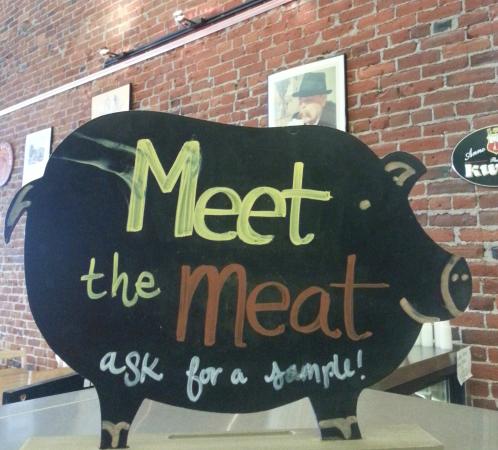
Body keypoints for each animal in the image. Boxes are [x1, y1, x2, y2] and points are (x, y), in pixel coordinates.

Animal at [4, 111, 471, 449]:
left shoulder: (336, 379)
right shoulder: (337, 378)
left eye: (405, 212)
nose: (458, 270)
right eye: (367, 207)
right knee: (114, 413)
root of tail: (41, 182)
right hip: (112, 362)